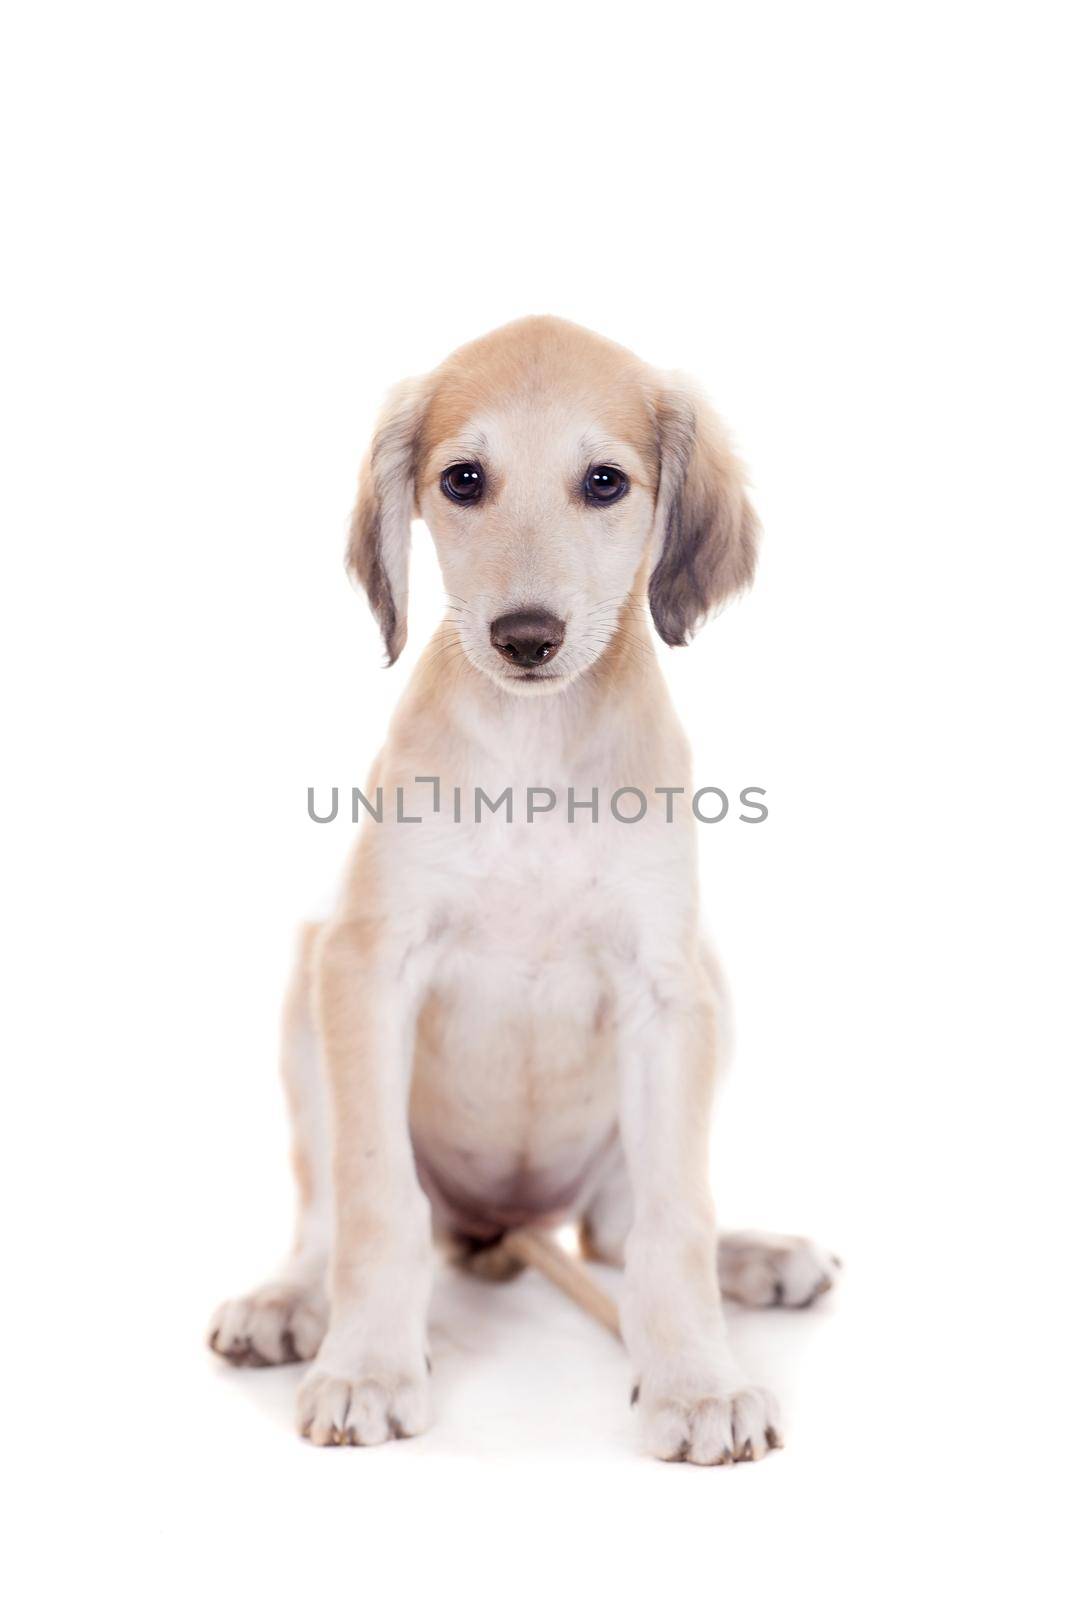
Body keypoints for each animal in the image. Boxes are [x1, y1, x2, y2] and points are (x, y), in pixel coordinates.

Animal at [207, 312, 838, 1465]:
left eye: (604, 482)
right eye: (464, 479)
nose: (527, 637)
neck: (535, 754)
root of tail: (501, 1228)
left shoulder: (665, 993)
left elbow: (674, 1221)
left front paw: (695, 1378)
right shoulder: (367, 963)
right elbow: (373, 1199)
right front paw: (368, 1362)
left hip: (705, 1002)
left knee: (621, 1229)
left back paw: (755, 1255)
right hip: (306, 992)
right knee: (327, 1213)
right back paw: (290, 1301)